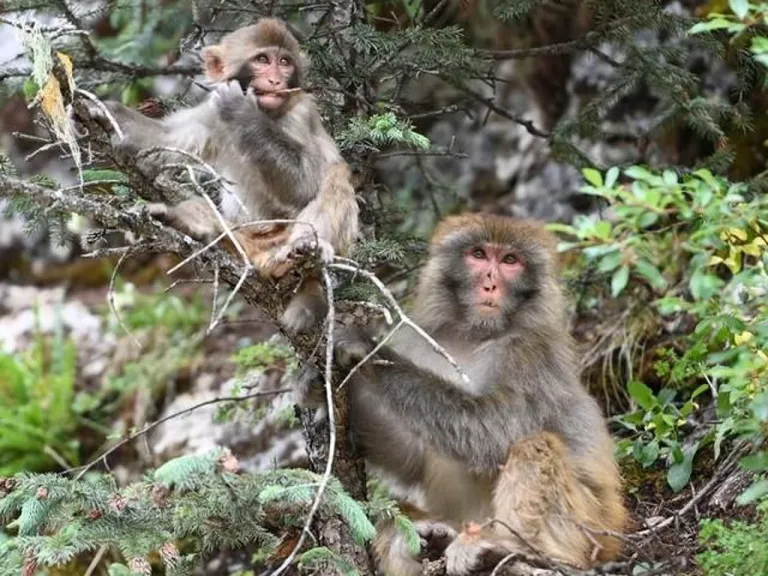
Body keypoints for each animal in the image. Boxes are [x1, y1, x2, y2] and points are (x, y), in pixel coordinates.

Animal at [85, 18, 359, 332]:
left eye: (284, 62)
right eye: (262, 60)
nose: (276, 80)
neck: (270, 114)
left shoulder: (301, 114)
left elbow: (307, 184)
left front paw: (241, 111)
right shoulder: (211, 112)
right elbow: (165, 141)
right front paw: (104, 112)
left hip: (287, 240)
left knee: (336, 176)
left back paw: (305, 247)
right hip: (241, 239)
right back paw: (181, 221)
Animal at [298, 213, 627, 575]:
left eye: (510, 261)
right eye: (479, 254)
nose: (490, 283)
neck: (473, 335)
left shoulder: (529, 355)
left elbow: (494, 431)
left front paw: (365, 349)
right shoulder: (421, 341)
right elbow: (411, 458)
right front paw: (318, 386)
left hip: (589, 528)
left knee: (534, 447)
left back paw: (511, 549)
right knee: (391, 514)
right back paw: (427, 536)